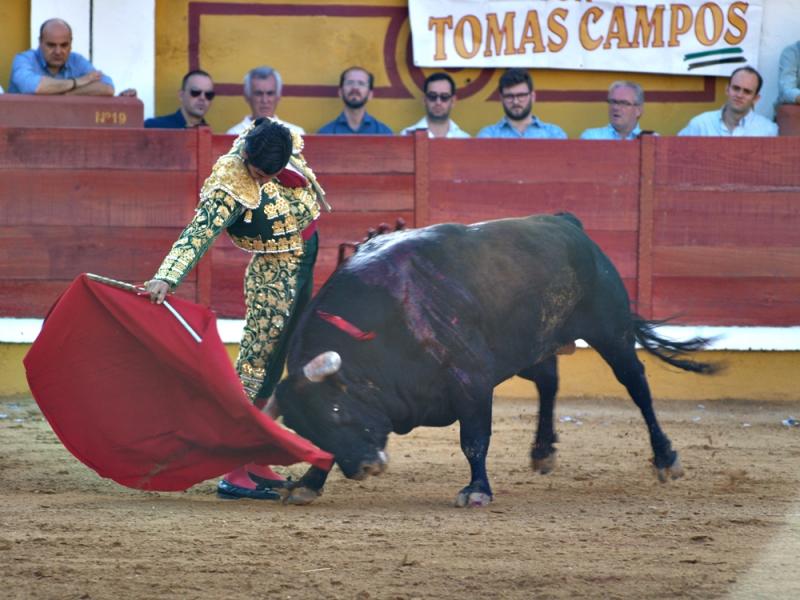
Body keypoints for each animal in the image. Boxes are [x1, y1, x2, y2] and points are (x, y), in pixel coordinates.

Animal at [272, 213, 716, 504]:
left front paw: (476, 491)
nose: (363, 469)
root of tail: (568, 223)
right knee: (549, 383)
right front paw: (308, 483)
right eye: (306, 428)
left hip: (612, 334)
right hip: (533, 347)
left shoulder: (471, 380)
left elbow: (474, 440)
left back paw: (666, 459)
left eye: (335, 411)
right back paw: (542, 452)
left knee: (637, 386)